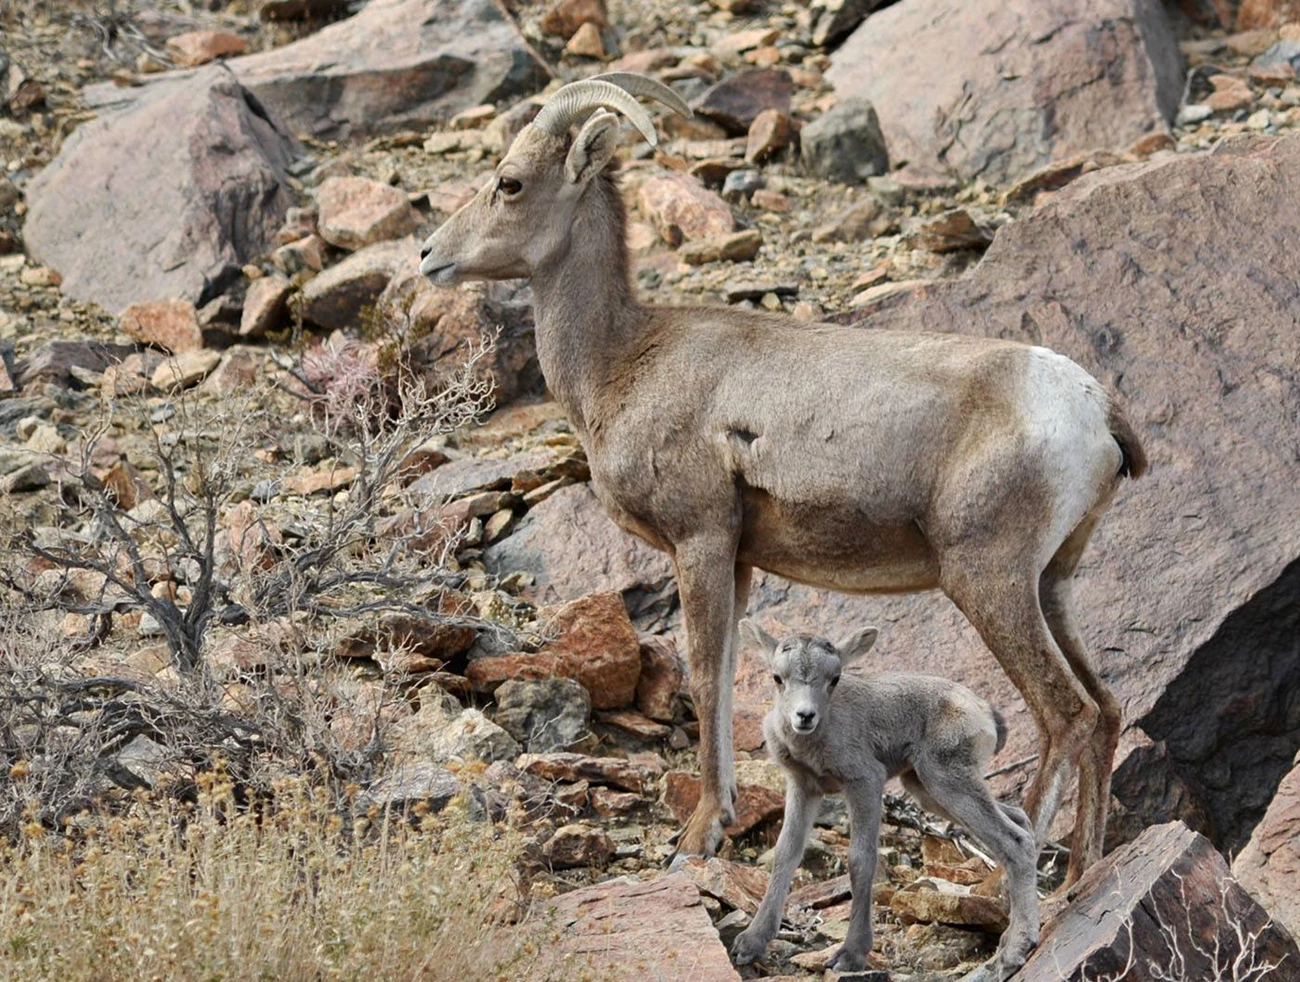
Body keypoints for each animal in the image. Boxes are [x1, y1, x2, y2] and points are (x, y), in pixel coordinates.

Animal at [417, 73, 1147, 883]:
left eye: (509, 182)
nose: (428, 255)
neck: (620, 363)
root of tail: (1095, 410)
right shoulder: (736, 561)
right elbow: (730, 675)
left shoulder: (701, 542)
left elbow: (706, 679)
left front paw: (699, 836)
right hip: (1052, 584)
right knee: (1107, 710)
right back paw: (1083, 877)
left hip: (988, 581)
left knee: (1066, 714)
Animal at [730, 620, 1040, 982]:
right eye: (778, 677)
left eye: (834, 678)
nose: (804, 716)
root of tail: (987, 715)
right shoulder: (804, 786)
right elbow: (785, 853)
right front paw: (749, 944)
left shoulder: (865, 781)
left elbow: (860, 860)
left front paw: (851, 955)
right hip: (927, 789)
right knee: (1019, 820)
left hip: (947, 780)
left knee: (1015, 841)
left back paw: (1011, 954)